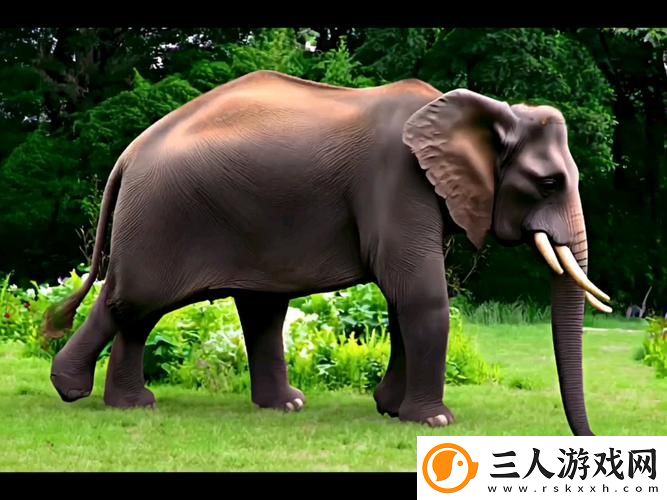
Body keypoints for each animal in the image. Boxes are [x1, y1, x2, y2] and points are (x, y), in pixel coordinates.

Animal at [44, 69, 612, 435]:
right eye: (548, 182)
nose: (587, 439)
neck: (481, 109)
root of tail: (129, 154)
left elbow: (401, 298)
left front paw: (390, 410)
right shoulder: (397, 182)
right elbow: (417, 291)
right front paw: (433, 420)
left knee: (209, 310)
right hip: (162, 217)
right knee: (133, 300)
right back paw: (76, 392)